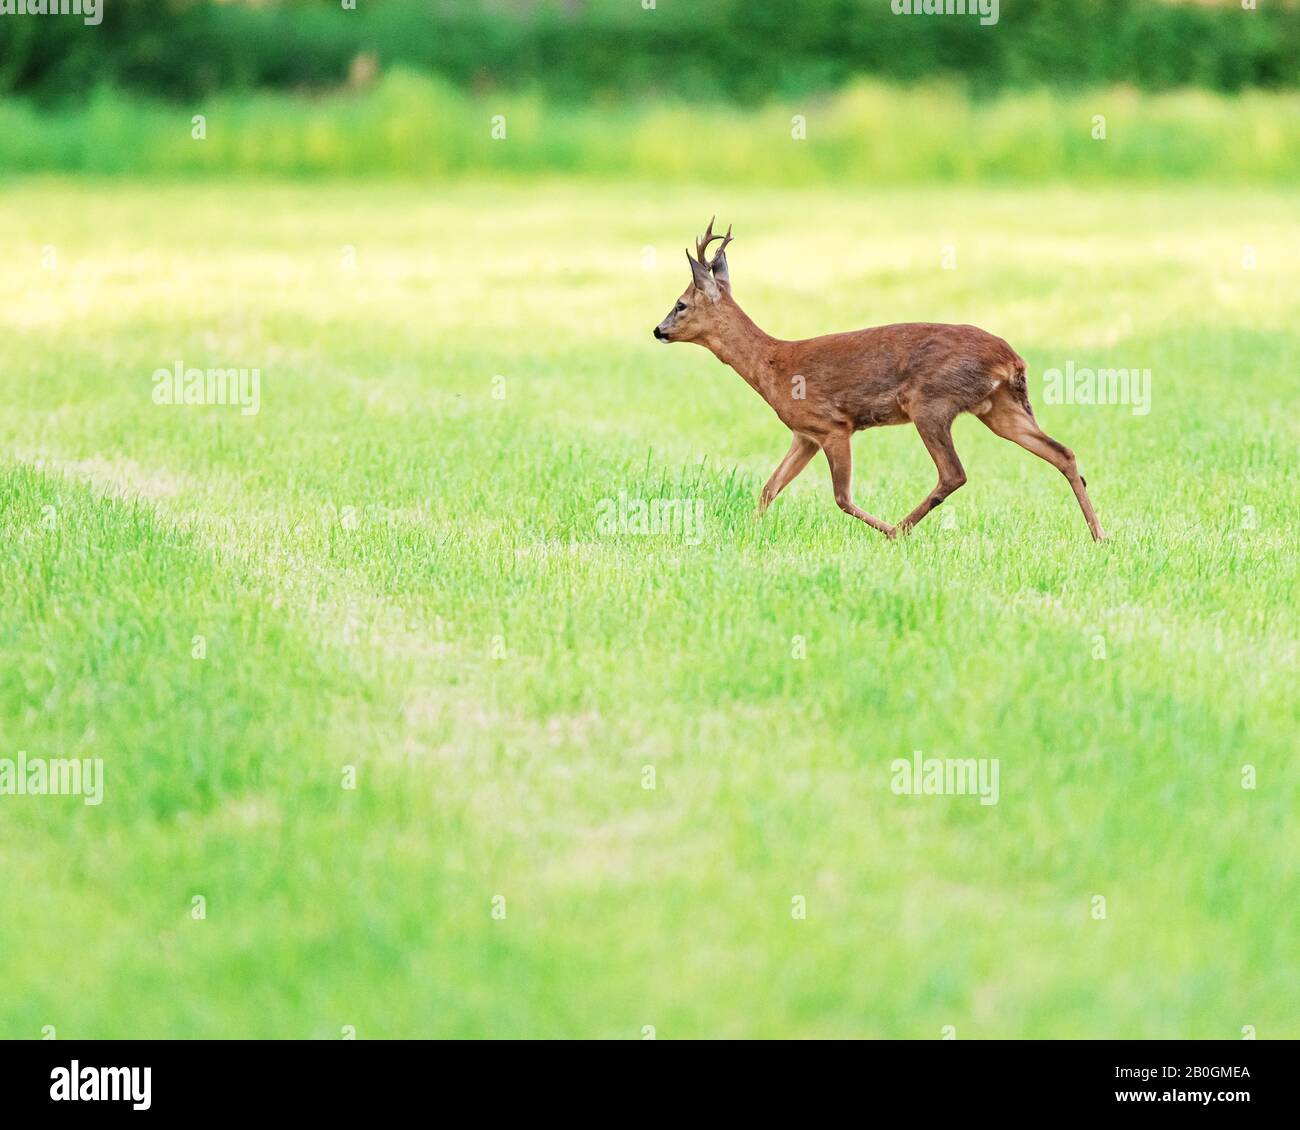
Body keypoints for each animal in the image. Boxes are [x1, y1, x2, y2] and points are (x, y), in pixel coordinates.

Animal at [653, 219, 1105, 541]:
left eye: (680, 304)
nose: (658, 330)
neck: (773, 364)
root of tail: (1012, 358)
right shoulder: (805, 434)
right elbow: (769, 488)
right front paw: (749, 531)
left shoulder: (833, 425)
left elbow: (841, 497)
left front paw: (885, 529)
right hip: (999, 407)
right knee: (1062, 453)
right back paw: (1100, 535)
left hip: (932, 400)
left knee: (954, 473)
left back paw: (899, 532)